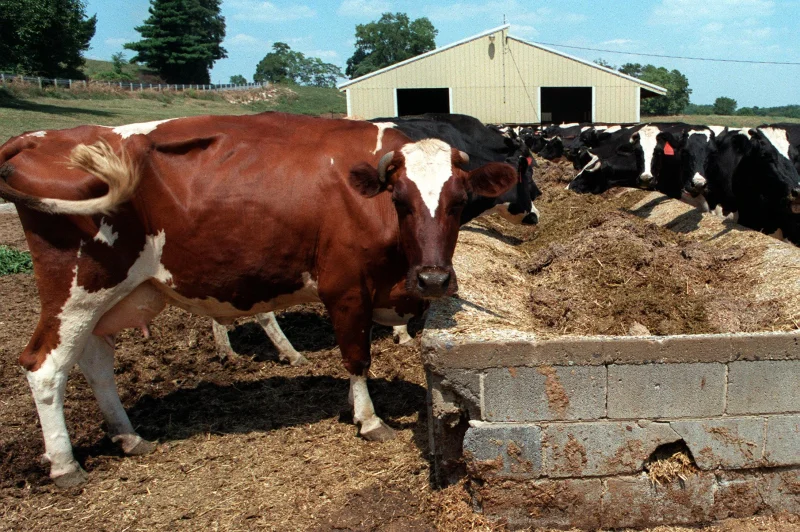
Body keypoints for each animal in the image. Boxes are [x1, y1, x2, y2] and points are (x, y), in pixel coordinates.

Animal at [0, 112, 519, 487]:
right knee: (44, 367)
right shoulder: (345, 288)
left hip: (107, 298)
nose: (433, 279)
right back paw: (65, 465)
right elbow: (356, 357)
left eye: (458, 201)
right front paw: (369, 419)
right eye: (402, 200)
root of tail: (41, 137)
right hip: (77, 289)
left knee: (94, 362)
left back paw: (129, 437)